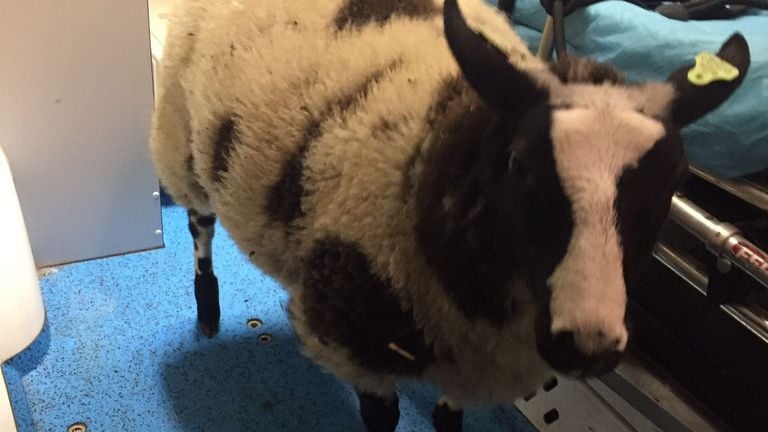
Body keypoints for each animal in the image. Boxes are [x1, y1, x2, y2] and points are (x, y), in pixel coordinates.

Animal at [149, 0, 750, 430]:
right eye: (518, 162)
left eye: (675, 180)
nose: (588, 346)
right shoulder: (353, 344)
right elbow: (382, 418)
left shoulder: (471, 363)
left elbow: (447, 420)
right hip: (181, 145)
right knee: (199, 227)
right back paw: (208, 308)